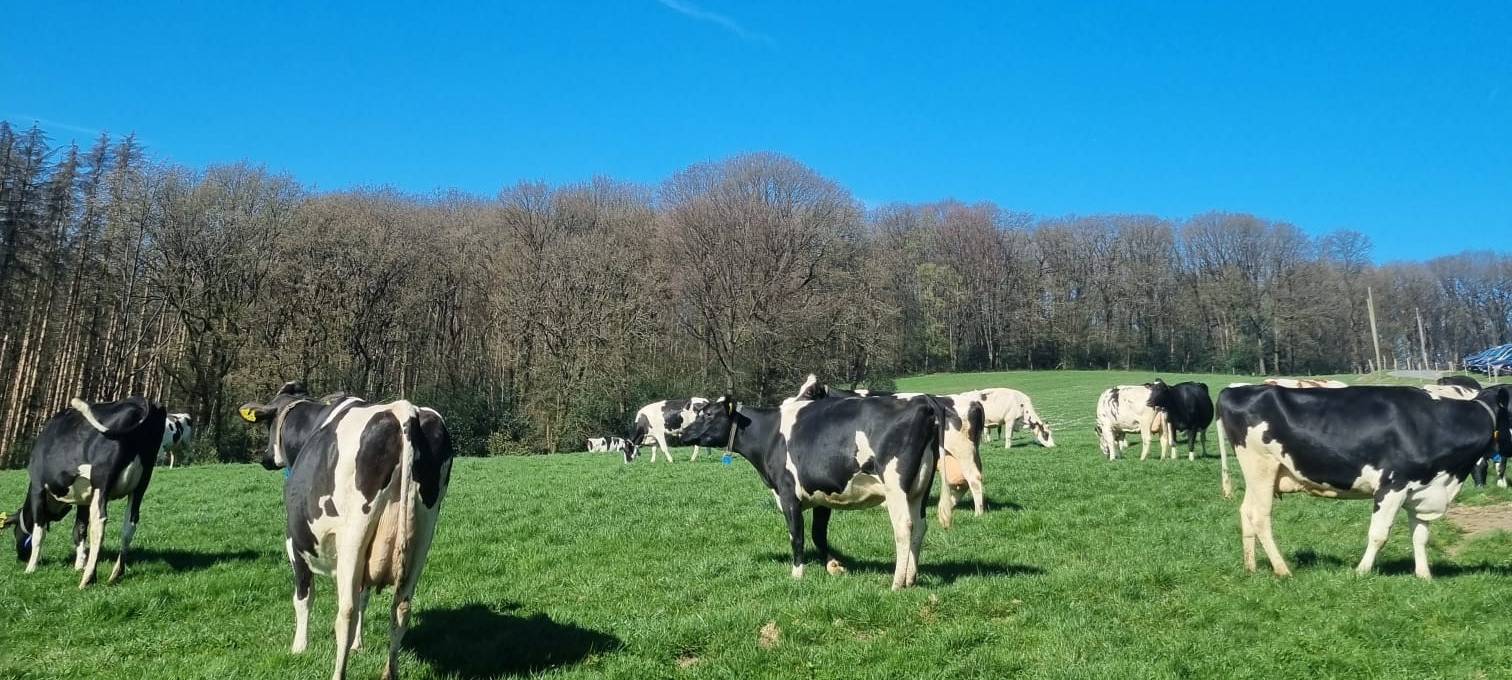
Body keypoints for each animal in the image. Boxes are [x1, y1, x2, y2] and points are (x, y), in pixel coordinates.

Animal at [2, 396, 166, 588]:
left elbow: (38, 533)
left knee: (99, 522)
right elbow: (78, 529)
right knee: (130, 524)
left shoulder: (38, 488)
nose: (20, 557)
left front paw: (31, 568)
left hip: (102, 480)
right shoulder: (84, 499)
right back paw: (115, 574)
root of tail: (141, 401)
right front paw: (79, 564)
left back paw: (88, 578)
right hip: (141, 484)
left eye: (15, 532)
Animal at [239, 382, 454, 680]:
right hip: (422, 536)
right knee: (401, 607)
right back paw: (389, 672)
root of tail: (403, 410)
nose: (266, 458)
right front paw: (358, 646)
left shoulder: (294, 544)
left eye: (268, 423)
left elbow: (303, 596)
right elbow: (364, 597)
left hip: (354, 535)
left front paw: (299, 647)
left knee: (346, 613)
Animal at [677, 385, 946, 589]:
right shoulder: (822, 495)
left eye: (708, 414)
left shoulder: (788, 494)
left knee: (904, 527)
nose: (681, 433)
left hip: (896, 487)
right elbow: (818, 534)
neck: (769, 435)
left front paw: (797, 574)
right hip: (920, 489)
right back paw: (911, 578)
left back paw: (897, 582)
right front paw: (834, 566)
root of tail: (923, 400)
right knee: (920, 526)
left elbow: (797, 535)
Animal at [791, 378, 986, 529]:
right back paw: (953, 506)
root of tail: (973, 402)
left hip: (964, 452)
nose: (791, 403)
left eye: (809, 392)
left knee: (973, 478)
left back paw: (978, 513)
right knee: (961, 482)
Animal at [1214, 384, 1510, 579]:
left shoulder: (1423, 490)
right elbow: (1379, 534)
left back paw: (1251, 567)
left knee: (1246, 512)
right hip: (1260, 466)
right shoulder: (1392, 485)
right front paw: (1361, 571)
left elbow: (1420, 536)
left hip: (1259, 474)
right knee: (1260, 516)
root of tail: (1235, 389)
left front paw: (1424, 575)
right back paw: (1283, 569)